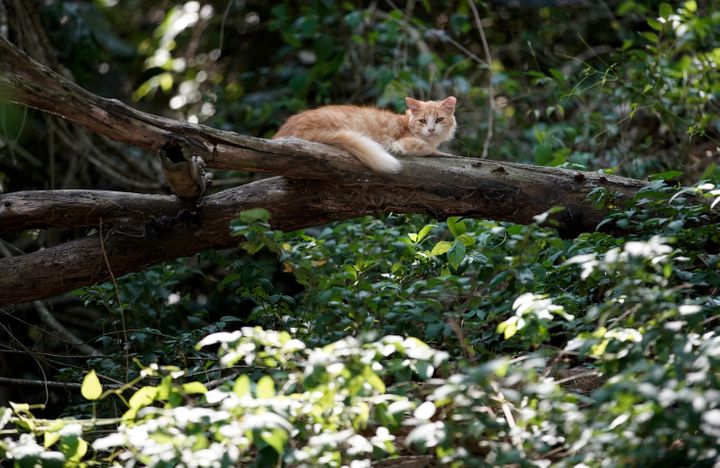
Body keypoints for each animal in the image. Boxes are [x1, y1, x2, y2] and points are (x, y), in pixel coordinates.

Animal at [272, 97, 458, 174]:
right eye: (422, 121)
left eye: (439, 119)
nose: (431, 130)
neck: (406, 123)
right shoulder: (402, 143)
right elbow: (431, 150)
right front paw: (447, 154)